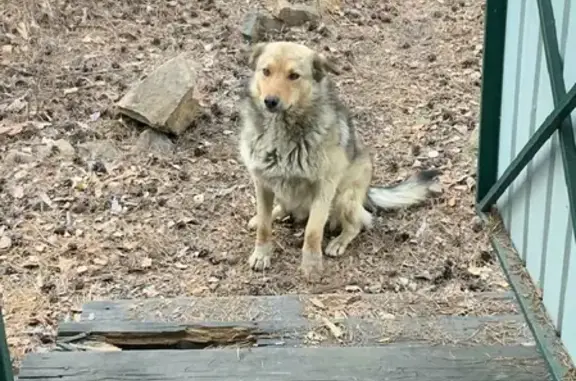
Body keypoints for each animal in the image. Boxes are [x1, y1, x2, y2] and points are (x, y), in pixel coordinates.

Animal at [236, 40, 438, 280]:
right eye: (265, 71)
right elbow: (264, 227)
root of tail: (367, 193)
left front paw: (311, 265)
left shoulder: (324, 187)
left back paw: (339, 241)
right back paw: (265, 216)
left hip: (344, 196)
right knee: (281, 209)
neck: (282, 132)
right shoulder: (262, 182)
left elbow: (313, 231)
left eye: (294, 76)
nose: (270, 102)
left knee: (358, 224)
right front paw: (262, 253)